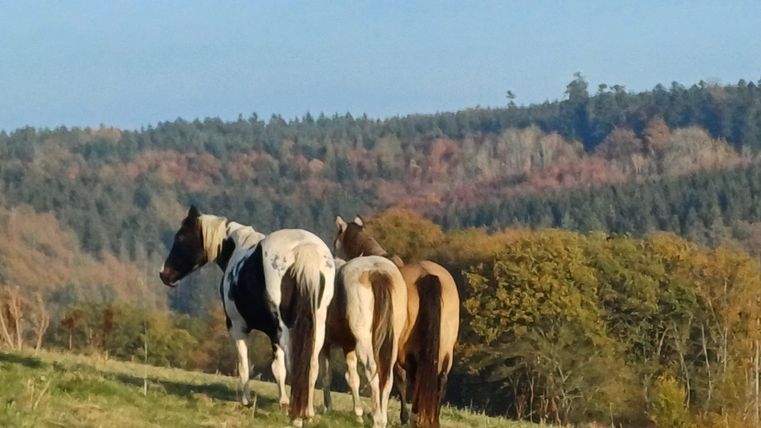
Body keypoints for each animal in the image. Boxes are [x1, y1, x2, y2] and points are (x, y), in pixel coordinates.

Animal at [159, 206, 335, 427]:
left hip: (282, 329)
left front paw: (247, 401)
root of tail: (304, 250)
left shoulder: (238, 327)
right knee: (311, 365)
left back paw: (294, 412)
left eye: (181, 237)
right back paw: (307, 412)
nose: (164, 275)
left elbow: (247, 364)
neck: (236, 249)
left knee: (292, 364)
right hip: (317, 326)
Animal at [320, 247, 407, 428]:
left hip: (364, 342)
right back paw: (382, 417)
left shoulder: (324, 344)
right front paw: (358, 414)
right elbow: (352, 377)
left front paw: (327, 408)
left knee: (372, 369)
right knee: (387, 375)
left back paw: (377, 419)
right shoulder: (348, 346)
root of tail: (377, 272)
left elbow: (325, 376)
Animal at [334, 215, 460, 428]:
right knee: (439, 379)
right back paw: (431, 418)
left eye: (336, 243)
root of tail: (427, 275)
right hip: (445, 347)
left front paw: (401, 417)